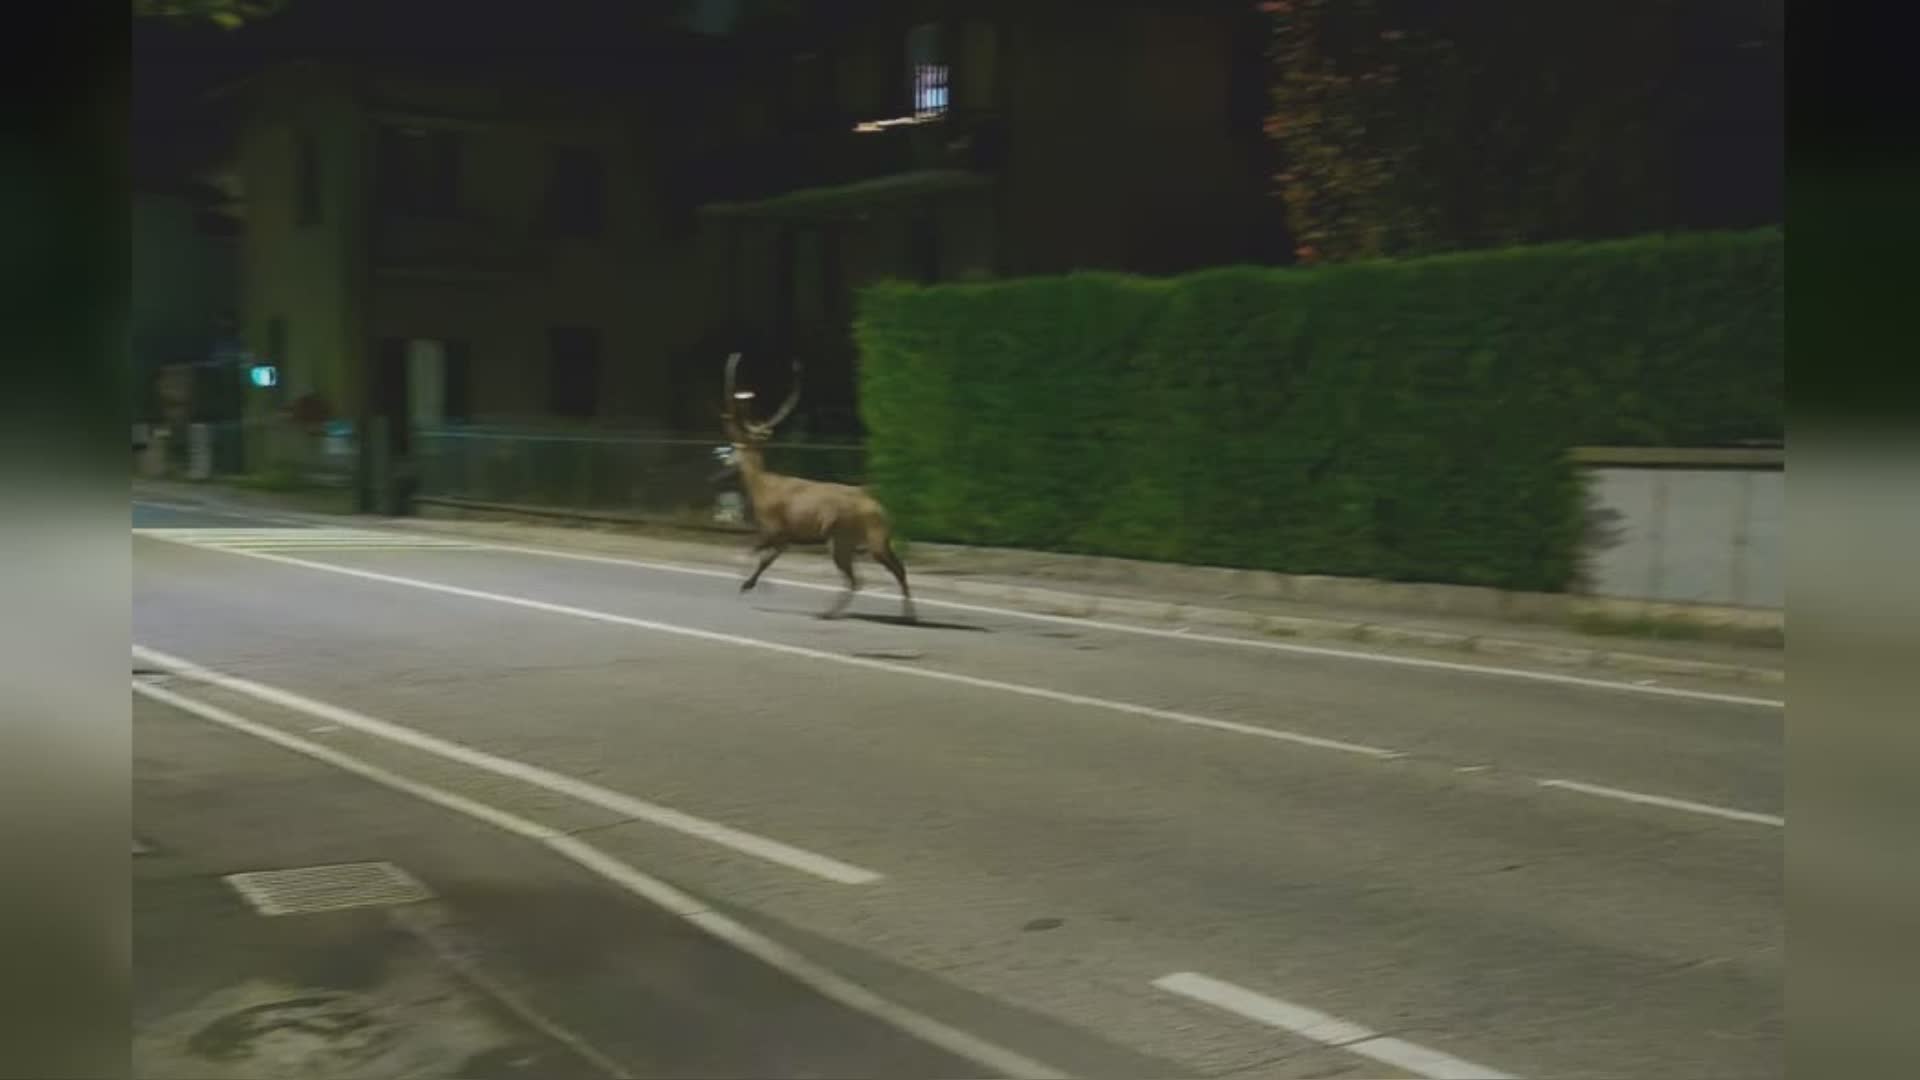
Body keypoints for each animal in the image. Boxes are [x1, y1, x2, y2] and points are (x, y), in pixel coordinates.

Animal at [721, 352, 916, 622]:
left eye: (734, 447)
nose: (725, 462)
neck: (760, 486)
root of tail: (880, 507)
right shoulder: (786, 536)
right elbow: (765, 559)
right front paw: (750, 584)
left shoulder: (773, 526)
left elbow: (752, 551)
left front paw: (745, 585)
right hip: (854, 539)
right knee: (880, 573)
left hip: (859, 537)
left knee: (876, 573)